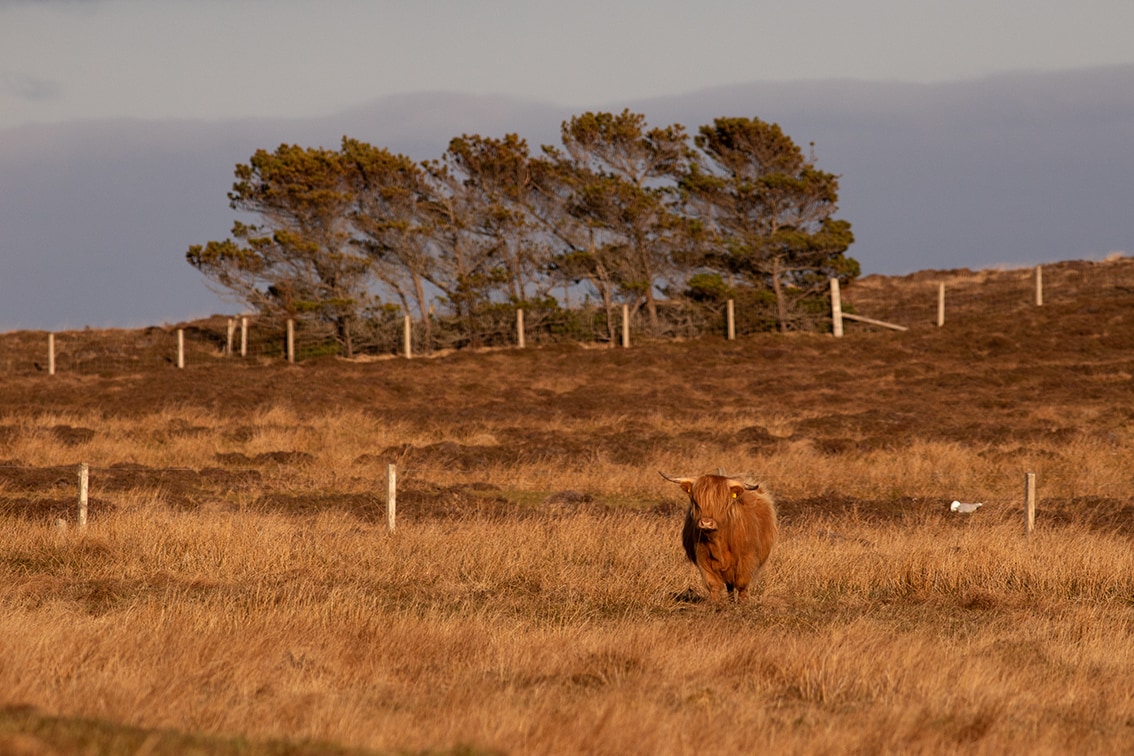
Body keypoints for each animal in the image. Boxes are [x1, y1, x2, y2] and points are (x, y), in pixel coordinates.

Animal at [662, 473, 775, 602]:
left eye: (722, 503)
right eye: (696, 502)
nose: (706, 523)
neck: (719, 540)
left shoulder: (747, 558)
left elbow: (742, 584)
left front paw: (742, 603)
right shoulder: (703, 558)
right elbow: (713, 584)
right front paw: (714, 603)